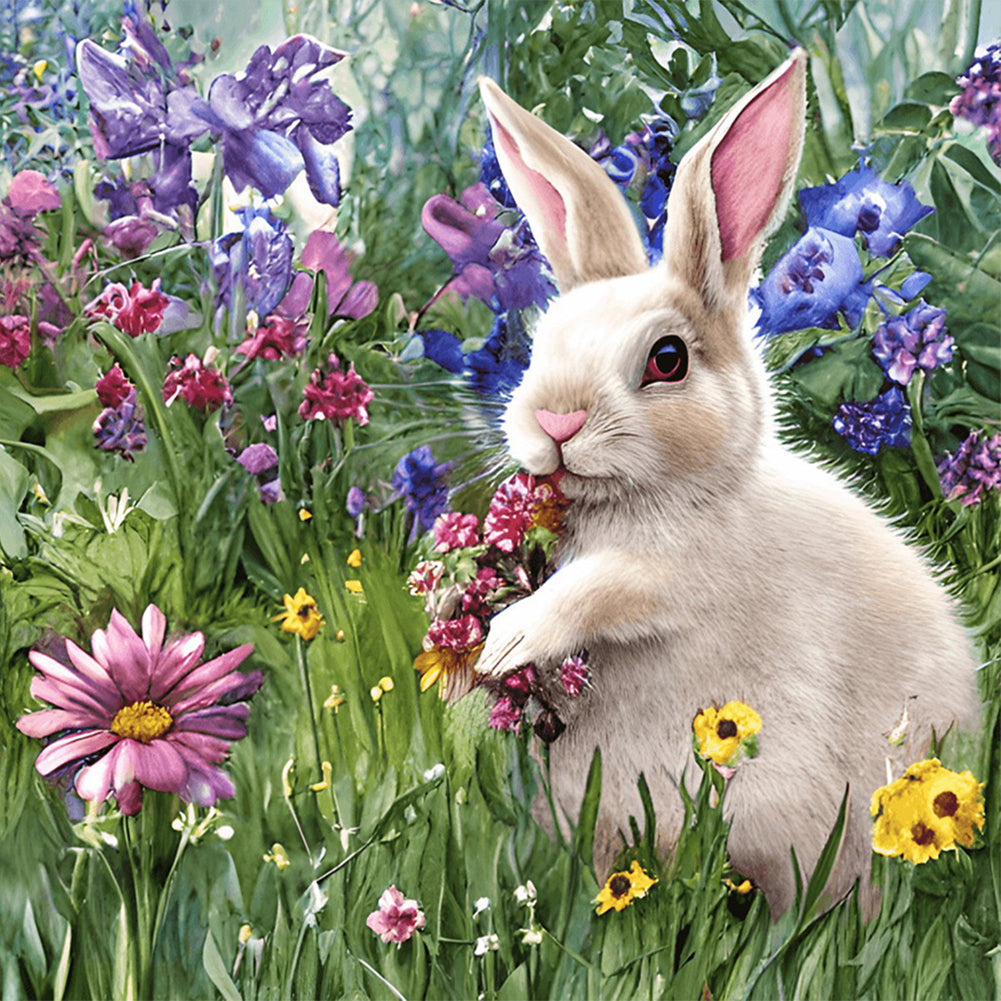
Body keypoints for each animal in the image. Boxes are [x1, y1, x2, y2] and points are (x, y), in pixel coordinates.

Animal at [472, 50, 982, 916]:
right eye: (541, 343)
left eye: (667, 358)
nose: (554, 422)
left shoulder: (678, 574)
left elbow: (597, 588)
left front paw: (504, 638)